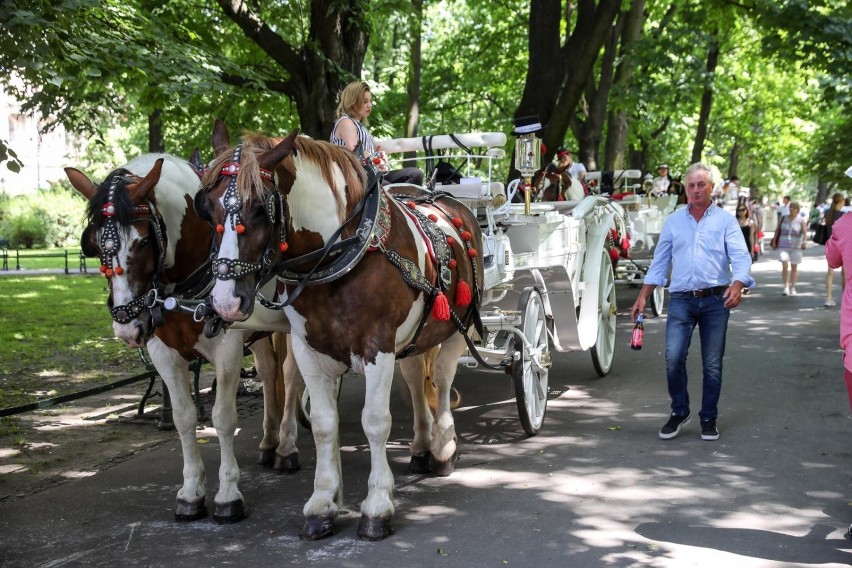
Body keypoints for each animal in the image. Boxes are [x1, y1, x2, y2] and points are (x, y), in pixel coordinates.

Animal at [67, 154, 306, 524]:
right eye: (93, 244)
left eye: (143, 241)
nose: (126, 327)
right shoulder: (163, 353)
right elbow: (183, 417)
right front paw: (192, 492)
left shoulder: (227, 349)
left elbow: (223, 417)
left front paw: (228, 494)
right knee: (268, 373)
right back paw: (268, 441)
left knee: (292, 377)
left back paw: (286, 446)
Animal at [195, 121, 486, 540]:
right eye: (207, 207)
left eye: (260, 208)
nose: (225, 301)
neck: (341, 253)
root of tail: (446, 198)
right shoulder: (309, 350)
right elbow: (322, 424)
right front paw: (323, 503)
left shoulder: (378, 346)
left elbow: (375, 422)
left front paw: (377, 506)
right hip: (414, 338)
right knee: (417, 379)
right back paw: (421, 446)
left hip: (454, 331)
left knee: (443, 381)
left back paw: (443, 449)